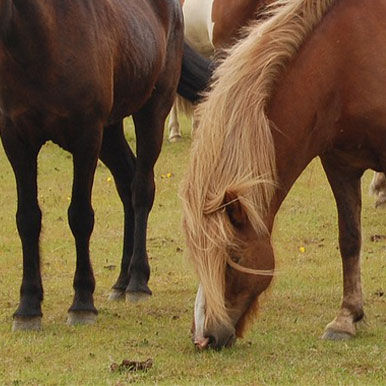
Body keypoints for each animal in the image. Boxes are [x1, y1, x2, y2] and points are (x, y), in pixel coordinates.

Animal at [0, 0, 208, 332]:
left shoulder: (86, 137)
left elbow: (80, 216)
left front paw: (82, 302)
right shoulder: (16, 141)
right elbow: (27, 219)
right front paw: (28, 307)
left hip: (152, 111)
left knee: (141, 189)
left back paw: (137, 281)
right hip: (111, 129)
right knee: (126, 182)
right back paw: (121, 281)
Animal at [182, 0, 386, 350]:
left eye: (234, 255)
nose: (204, 337)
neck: (346, 61)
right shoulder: (340, 164)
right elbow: (349, 238)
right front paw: (346, 318)